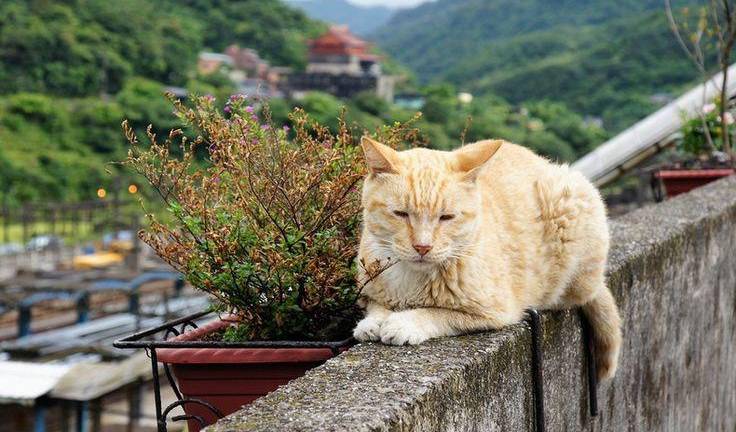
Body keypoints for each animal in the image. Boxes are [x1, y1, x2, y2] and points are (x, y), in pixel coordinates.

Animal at [356, 137, 620, 380]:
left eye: (446, 217)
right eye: (401, 214)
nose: (423, 247)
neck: (409, 281)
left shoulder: (494, 314)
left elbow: (435, 313)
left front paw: (403, 323)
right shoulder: (369, 293)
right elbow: (376, 306)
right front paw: (373, 323)